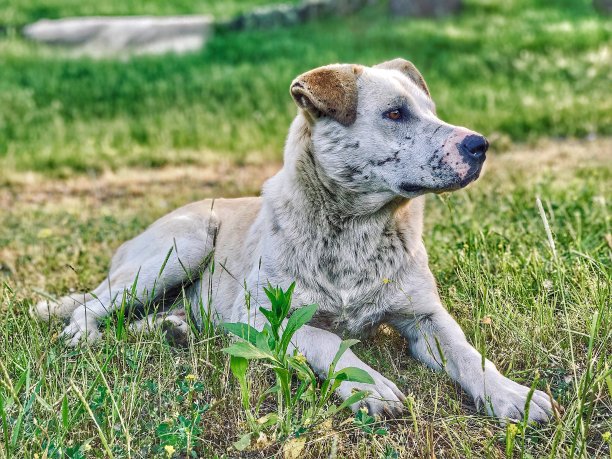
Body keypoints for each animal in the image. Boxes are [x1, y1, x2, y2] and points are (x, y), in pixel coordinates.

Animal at [34, 59, 560, 422]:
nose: (480, 145)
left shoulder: (426, 318)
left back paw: (173, 329)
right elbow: (327, 340)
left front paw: (512, 395)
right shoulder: (261, 318)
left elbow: (469, 355)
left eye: (432, 111)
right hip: (182, 245)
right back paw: (85, 335)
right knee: (92, 306)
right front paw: (371, 387)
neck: (356, 231)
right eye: (394, 113)